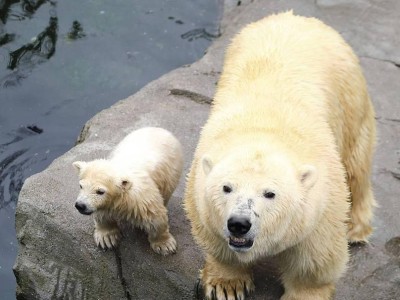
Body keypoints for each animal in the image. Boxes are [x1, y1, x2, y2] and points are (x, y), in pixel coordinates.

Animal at [184, 11, 376, 300]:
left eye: (270, 193)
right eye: (226, 188)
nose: (239, 223)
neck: (265, 129)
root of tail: (297, 16)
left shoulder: (321, 202)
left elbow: (315, 259)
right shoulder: (199, 184)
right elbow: (216, 241)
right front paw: (227, 285)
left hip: (350, 97)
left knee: (356, 165)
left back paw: (356, 228)